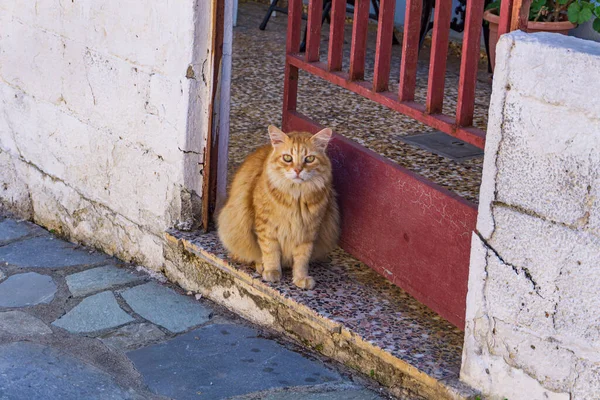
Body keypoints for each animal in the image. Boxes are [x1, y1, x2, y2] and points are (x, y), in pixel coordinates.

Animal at [217, 126, 340, 290]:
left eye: (309, 159)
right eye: (287, 158)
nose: (297, 170)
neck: (296, 197)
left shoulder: (308, 232)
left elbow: (302, 259)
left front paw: (300, 278)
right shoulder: (265, 227)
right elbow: (270, 251)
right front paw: (272, 271)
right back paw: (261, 266)